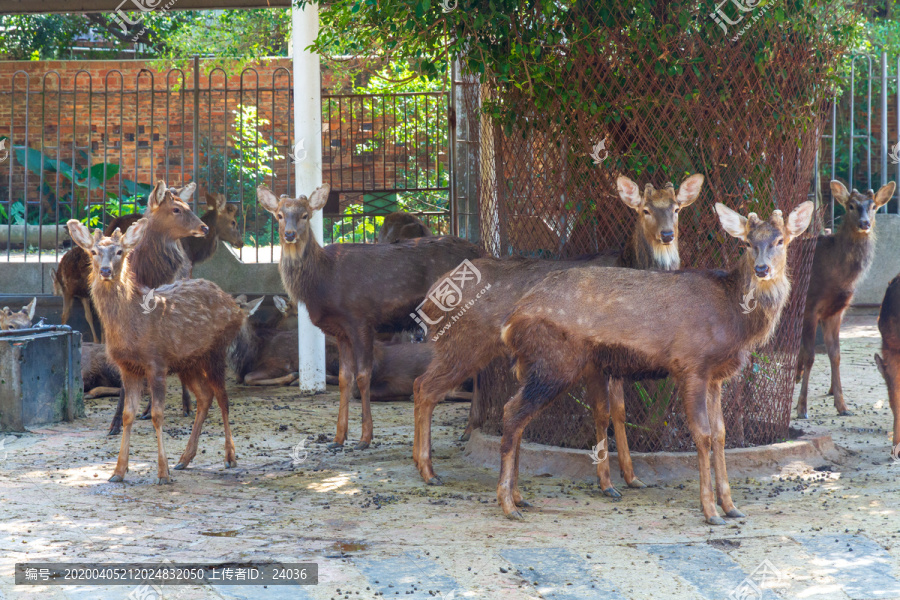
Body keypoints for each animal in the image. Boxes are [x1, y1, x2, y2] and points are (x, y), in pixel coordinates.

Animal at [67, 218, 243, 486]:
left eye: (120, 252)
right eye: (94, 252)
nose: (105, 271)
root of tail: (235, 307)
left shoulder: (156, 361)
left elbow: (157, 415)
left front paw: (162, 473)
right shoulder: (127, 368)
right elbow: (128, 414)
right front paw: (118, 472)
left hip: (216, 349)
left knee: (223, 398)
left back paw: (230, 457)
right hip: (188, 362)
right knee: (205, 397)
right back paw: (184, 459)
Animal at [256, 185, 482, 448]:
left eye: (305, 215)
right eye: (280, 215)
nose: (290, 234)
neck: (322, 282)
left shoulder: (361, 319)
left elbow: (363, 376)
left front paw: (365, 437)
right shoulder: (340, 331)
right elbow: (345, 378)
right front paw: (338, 438)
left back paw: (468, 430)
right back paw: (468, 430)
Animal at [412, 172, 708, 492]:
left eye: (676, 208)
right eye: (645, 210)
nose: (667, 235)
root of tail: (430, 298)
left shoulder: (616, 360)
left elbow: (620, 412)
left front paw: (633, 478)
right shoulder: (596, 359)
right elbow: (602, 413)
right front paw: (607, 484)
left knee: (421, 384)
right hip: (463, 343)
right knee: (426, 387)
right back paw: (428, 471)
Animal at [496, 199, 820, 524]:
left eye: (780, 241)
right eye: (748, 243)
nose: (761, 268)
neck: (734, 320)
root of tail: (510, 322)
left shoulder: (715, 376)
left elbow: (720, 434)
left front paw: (731, 507)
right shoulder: (691, 364)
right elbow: (702, 434)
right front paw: (710, 511)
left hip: (546, 365)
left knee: (521, 416)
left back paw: (520, 497)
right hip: (555, 361)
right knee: (512, 412)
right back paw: (509, 505)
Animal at [800, 180, 896, 420]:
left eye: (873, 206)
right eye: (851, 205)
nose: (864, 223)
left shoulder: (836, 311)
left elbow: (835, 355)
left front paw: (842, 406)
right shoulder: (809, 306)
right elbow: (810, 356)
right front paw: (802, 408)